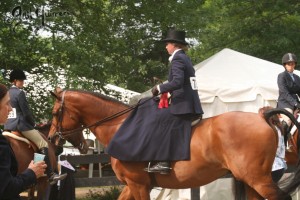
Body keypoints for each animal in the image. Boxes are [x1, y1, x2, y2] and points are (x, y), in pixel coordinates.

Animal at [48, 89, 300, 200]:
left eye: (54, 112)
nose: (51, 139)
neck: (120, 127)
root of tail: (262, 117)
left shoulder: (139, 185)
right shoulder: (132, 185)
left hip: (257, 178)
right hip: (250, 180)